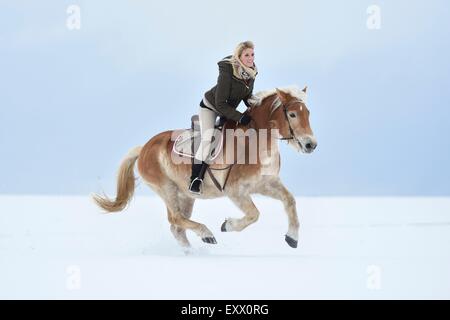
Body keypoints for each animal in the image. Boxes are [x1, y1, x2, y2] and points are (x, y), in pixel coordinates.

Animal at [92, 85, 316, 250]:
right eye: (293, 114)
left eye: (308, 113)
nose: (310, 145)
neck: (256, 142)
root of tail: (145, 147)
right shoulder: (235, 191)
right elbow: (254, 214)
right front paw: (228, 225)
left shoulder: (265, 184)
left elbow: (290, 200)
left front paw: (292, 238)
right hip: (166, 188)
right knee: (176, 218)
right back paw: (207, 234)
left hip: (186, 195)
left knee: (177, 227)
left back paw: (192, 252)